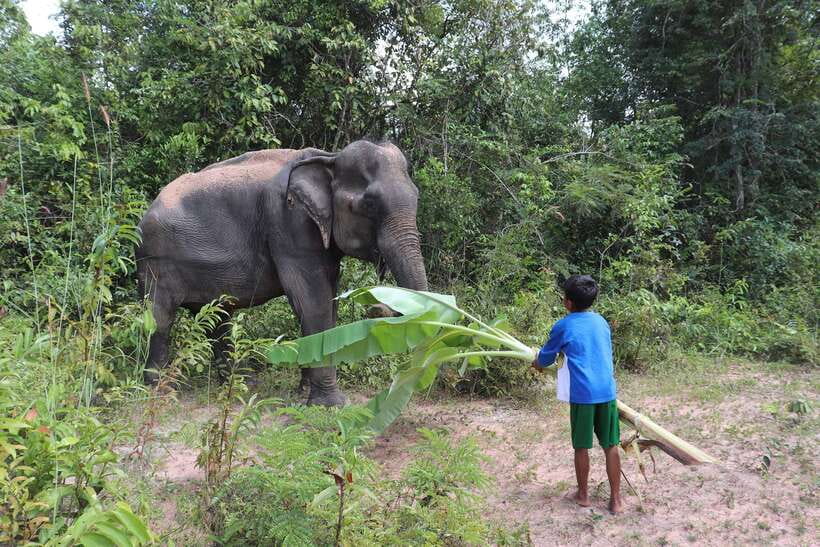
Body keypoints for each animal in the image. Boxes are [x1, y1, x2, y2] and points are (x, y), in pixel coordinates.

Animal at [135, 140, 428, 406]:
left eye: (417, 196)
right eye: (369, 204)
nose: (376, 308)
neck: (329, 157)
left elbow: (327, 303)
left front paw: (304, 392)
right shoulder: (288, 224)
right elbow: (313, 303)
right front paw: (331, 404)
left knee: (218, 319)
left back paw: (237, 385)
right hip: (156, 261)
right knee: (160, 319)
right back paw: (160, 392)